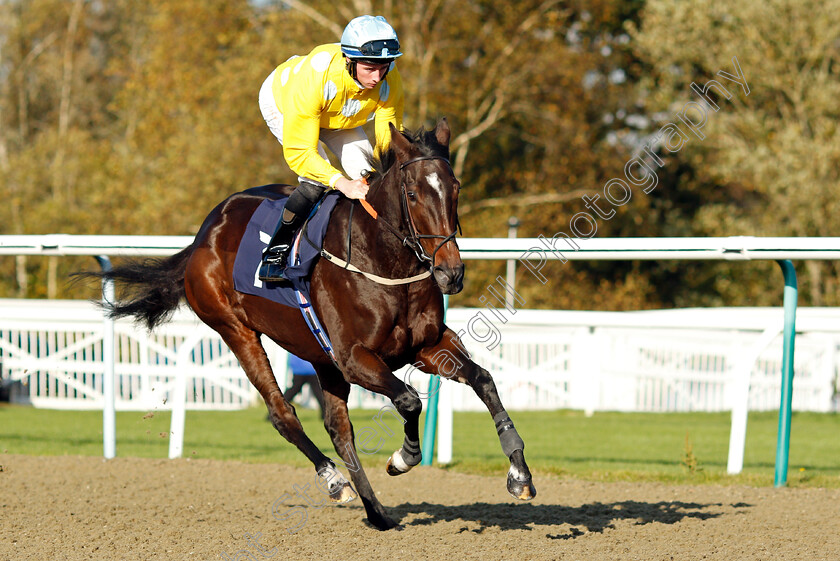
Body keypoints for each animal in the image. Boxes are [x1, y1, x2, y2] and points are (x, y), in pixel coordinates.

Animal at [82, 118, 536, 528]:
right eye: (412, 193)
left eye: (455, 187)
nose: (451, 273)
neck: (382, 262)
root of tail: (203, 235)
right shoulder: (354, 358)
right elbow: (409, 400)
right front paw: (403, 458)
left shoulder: (425, 345)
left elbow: (483, 380)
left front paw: (519, 474)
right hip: (236, 331)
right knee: (283, 414)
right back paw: (337, 483)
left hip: (319, 356)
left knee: (338, 427)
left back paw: (375, 512)